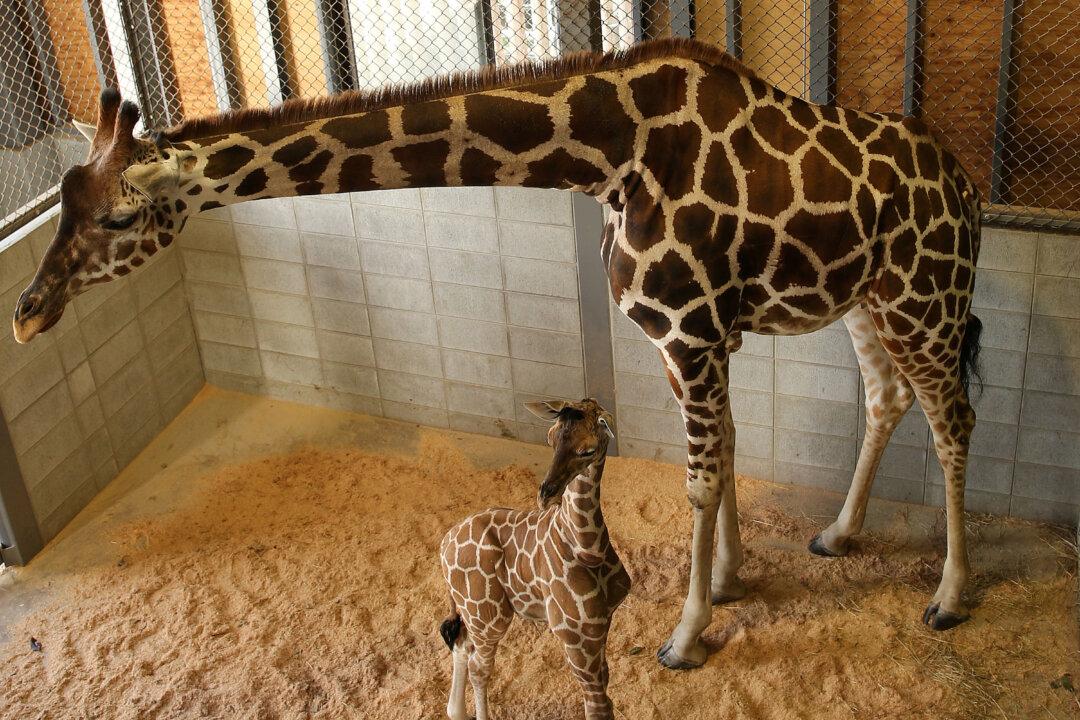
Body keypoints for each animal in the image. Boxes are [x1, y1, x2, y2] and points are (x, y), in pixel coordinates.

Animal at [12, 38, 983, 671]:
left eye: (120, 216)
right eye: (60, 199)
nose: (26, 314)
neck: (607, 156)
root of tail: (969, 189)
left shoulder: (689, 326)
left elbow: (702, 479)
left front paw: (685, 635)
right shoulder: (701, 333)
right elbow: (729, 455)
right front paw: (732, 580)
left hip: (926, 298)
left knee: (953, 419)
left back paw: (947, 597)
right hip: (870, 302)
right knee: (889, 399)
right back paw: (839, 532)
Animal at [439, 398, 629, 720]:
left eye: (588, 450)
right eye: (550, 438)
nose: (546, 494)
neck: (587, 547)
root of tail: (443, 548)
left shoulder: (602, 623)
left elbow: (606, 692)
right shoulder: (573, 633)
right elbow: (597, 706)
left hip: (473, 614)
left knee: (461, 645)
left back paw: (457, 711)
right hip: (488, 615)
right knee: (479, 666)